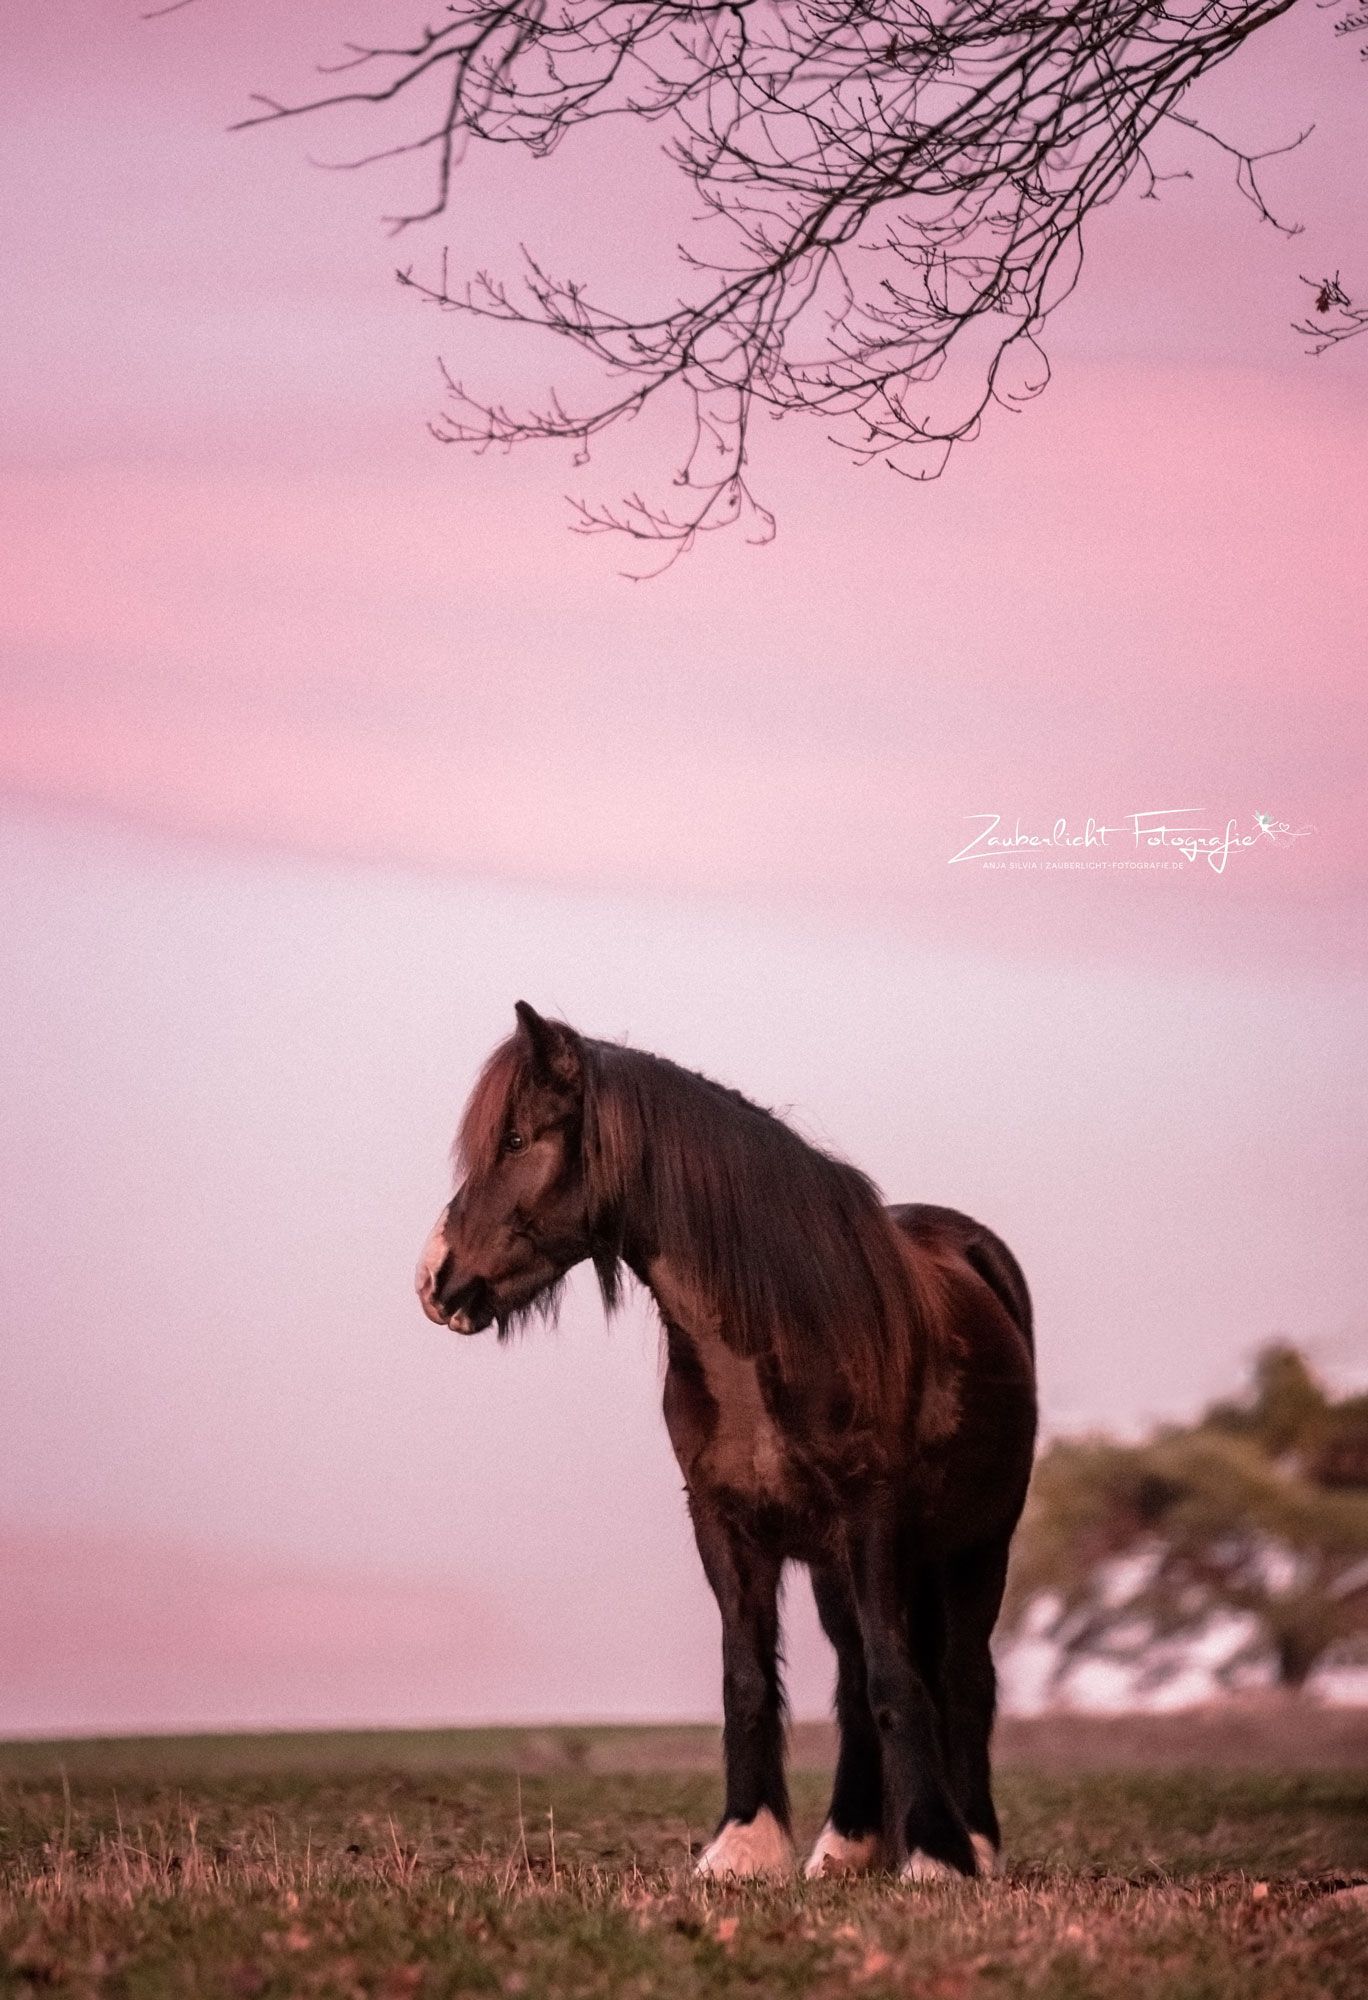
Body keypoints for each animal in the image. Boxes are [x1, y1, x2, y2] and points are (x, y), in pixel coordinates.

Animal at [416, 1008, 1040, 1880]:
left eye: (513, 1139)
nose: (434, 1281)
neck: (781, 1331)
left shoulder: (875, 1520)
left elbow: (898, 1678)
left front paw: (937, 1854)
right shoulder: (725, 1523)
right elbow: (748, 1677)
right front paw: (745, 1844)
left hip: (977, 1545)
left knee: (960, 1674)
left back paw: (974, 1841)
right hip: (836, 1570)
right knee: (854, 1675)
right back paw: (847, 1842)